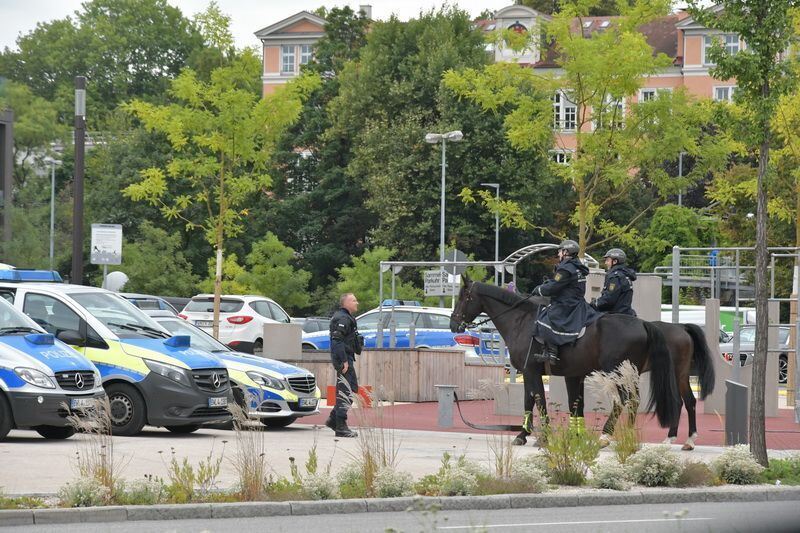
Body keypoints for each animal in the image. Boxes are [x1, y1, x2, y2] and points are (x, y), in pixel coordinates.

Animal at [450, 278, 680, 444]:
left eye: (463, 297)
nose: (453, 324)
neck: (521, 321)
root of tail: (642, 324)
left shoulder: (531, 371)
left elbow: (539, 400)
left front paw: (542, 436)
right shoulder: (554, 374)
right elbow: (536, 402)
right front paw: (524, 434)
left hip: (616, 372)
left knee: (623, 400)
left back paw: (606, 434)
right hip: (629, 374)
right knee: (633, 401)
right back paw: (628, 435)